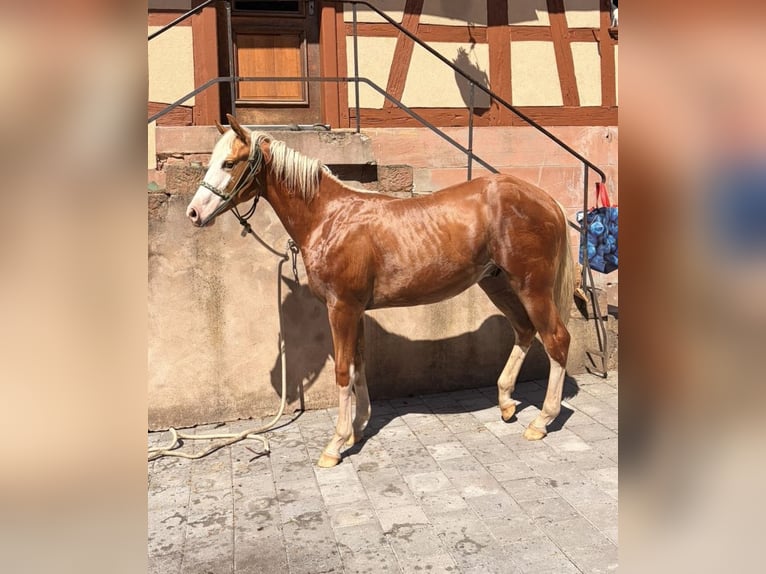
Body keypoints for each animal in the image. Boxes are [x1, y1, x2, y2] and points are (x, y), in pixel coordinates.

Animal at [186, 114, 574, 468]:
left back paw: (542, 420)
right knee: (525, 331)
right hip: (496, 282)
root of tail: (546, 199)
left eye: (229, 163)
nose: (193, 212)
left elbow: (343, 371)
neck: (330, 218)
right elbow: (359, 365)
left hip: (531, 285)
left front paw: (335, 444)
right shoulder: (355, 310)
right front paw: (358, 429)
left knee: (556, 339)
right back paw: (507, 403)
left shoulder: (341, 308)